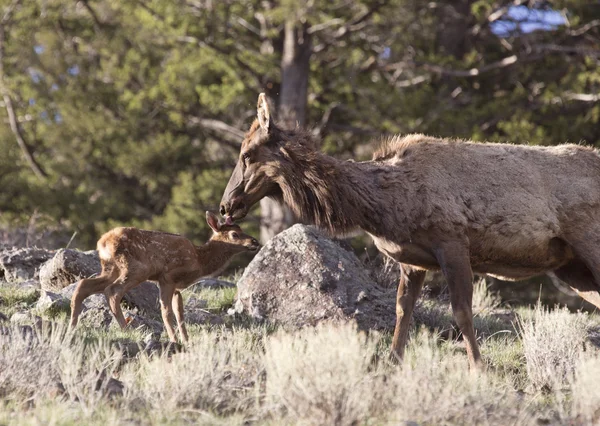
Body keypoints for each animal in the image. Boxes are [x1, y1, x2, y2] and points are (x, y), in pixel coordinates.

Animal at [69, 212, 258, 342]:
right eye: (234, 234)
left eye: (242, 229)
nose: (254, 242)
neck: (199, 260)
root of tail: (103, 243)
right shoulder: (167, 276)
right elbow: (166, 312)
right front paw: (174, 339)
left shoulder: (177, 287)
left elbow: (179, 312)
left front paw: (186, 339)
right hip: (136, 268)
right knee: (112, 291)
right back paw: (126, 329)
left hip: (110, 268)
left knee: (84, 284)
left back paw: (72, 325)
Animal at [220, 93, 600, 370]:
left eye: (247, 153)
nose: (225, 207)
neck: (385, 207)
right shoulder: (412, 260)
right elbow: (403, 311)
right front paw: (392, 362)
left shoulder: (453, 242)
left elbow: (462, 311)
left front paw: (478, 367)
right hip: (571, 267)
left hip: (589, 245)